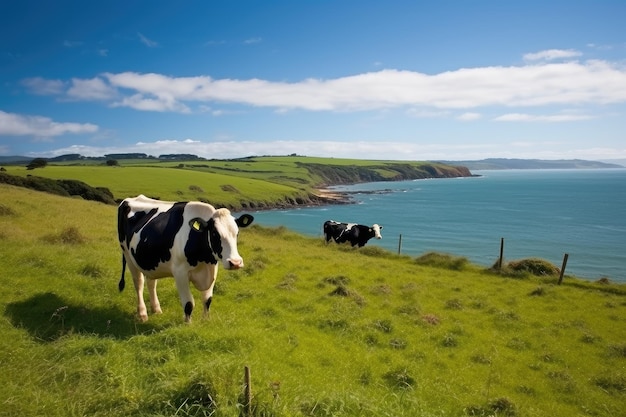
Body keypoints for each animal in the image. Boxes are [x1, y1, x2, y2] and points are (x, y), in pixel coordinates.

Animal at [117, 195, 254, 322]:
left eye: (237, 233)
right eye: (215, 234)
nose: (235, 262)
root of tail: (129, 199)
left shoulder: (212, 269)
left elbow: (207, 300)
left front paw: (206, 320)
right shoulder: (180, 273)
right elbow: (188, 303)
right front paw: (188, 324)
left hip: (150, 260)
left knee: (151, 283)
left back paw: (156, 309)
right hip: (127, 254)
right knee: (138, 283)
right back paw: (142, 314)